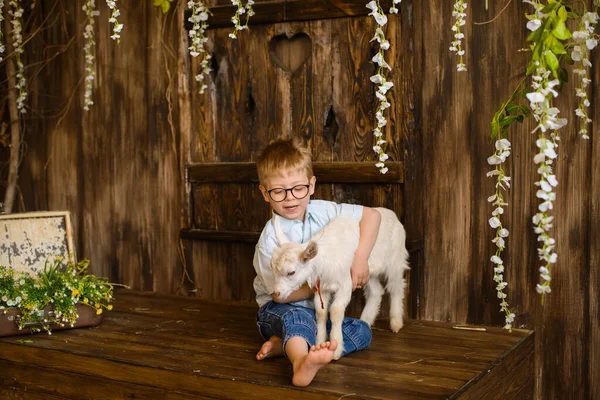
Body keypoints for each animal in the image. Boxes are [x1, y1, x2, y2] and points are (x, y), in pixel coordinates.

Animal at [270, 208, 408, 358]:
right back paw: (366, 320)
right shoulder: (322, 287)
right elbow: (321, 312)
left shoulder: (346, 284)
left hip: (395, 259)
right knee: (376, 292)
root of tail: (392, 215)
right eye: (272, 269)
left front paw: (335, 348)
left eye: (291, 272)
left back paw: (396, 322)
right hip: (367, 271)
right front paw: (320, 344)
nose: (276, 293)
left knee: (396, 287)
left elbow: (335, 310)